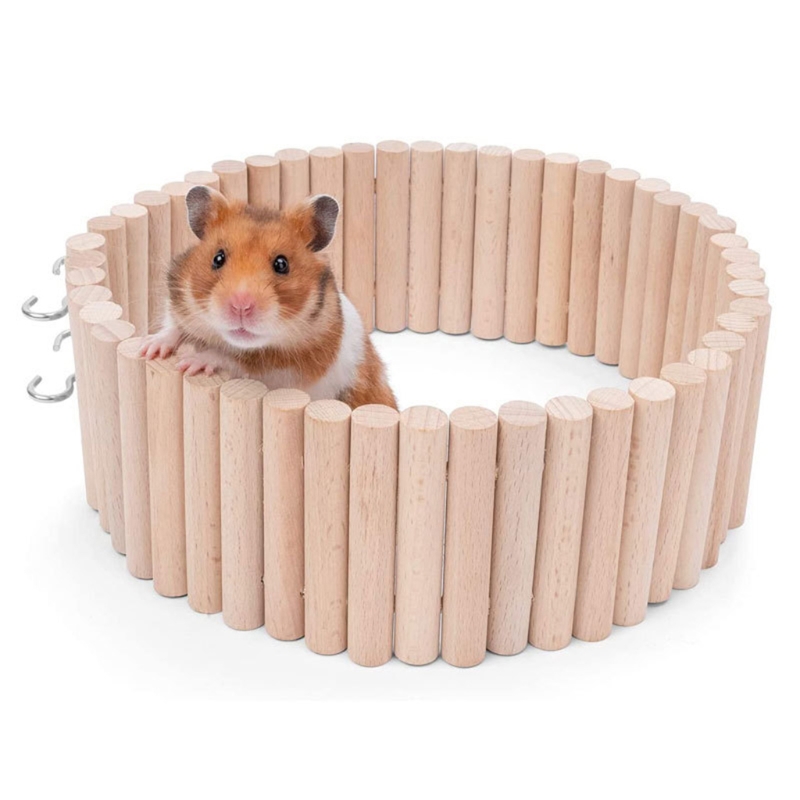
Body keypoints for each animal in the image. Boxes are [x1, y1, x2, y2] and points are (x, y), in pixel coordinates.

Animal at [140, 186, 397, 410]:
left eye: (282, 264)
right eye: (218, 258)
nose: (241, 306)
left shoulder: (287, 371)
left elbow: (236, 360)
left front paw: (192, 363)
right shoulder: (179, 300)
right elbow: (172, 326)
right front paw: (149, 348)